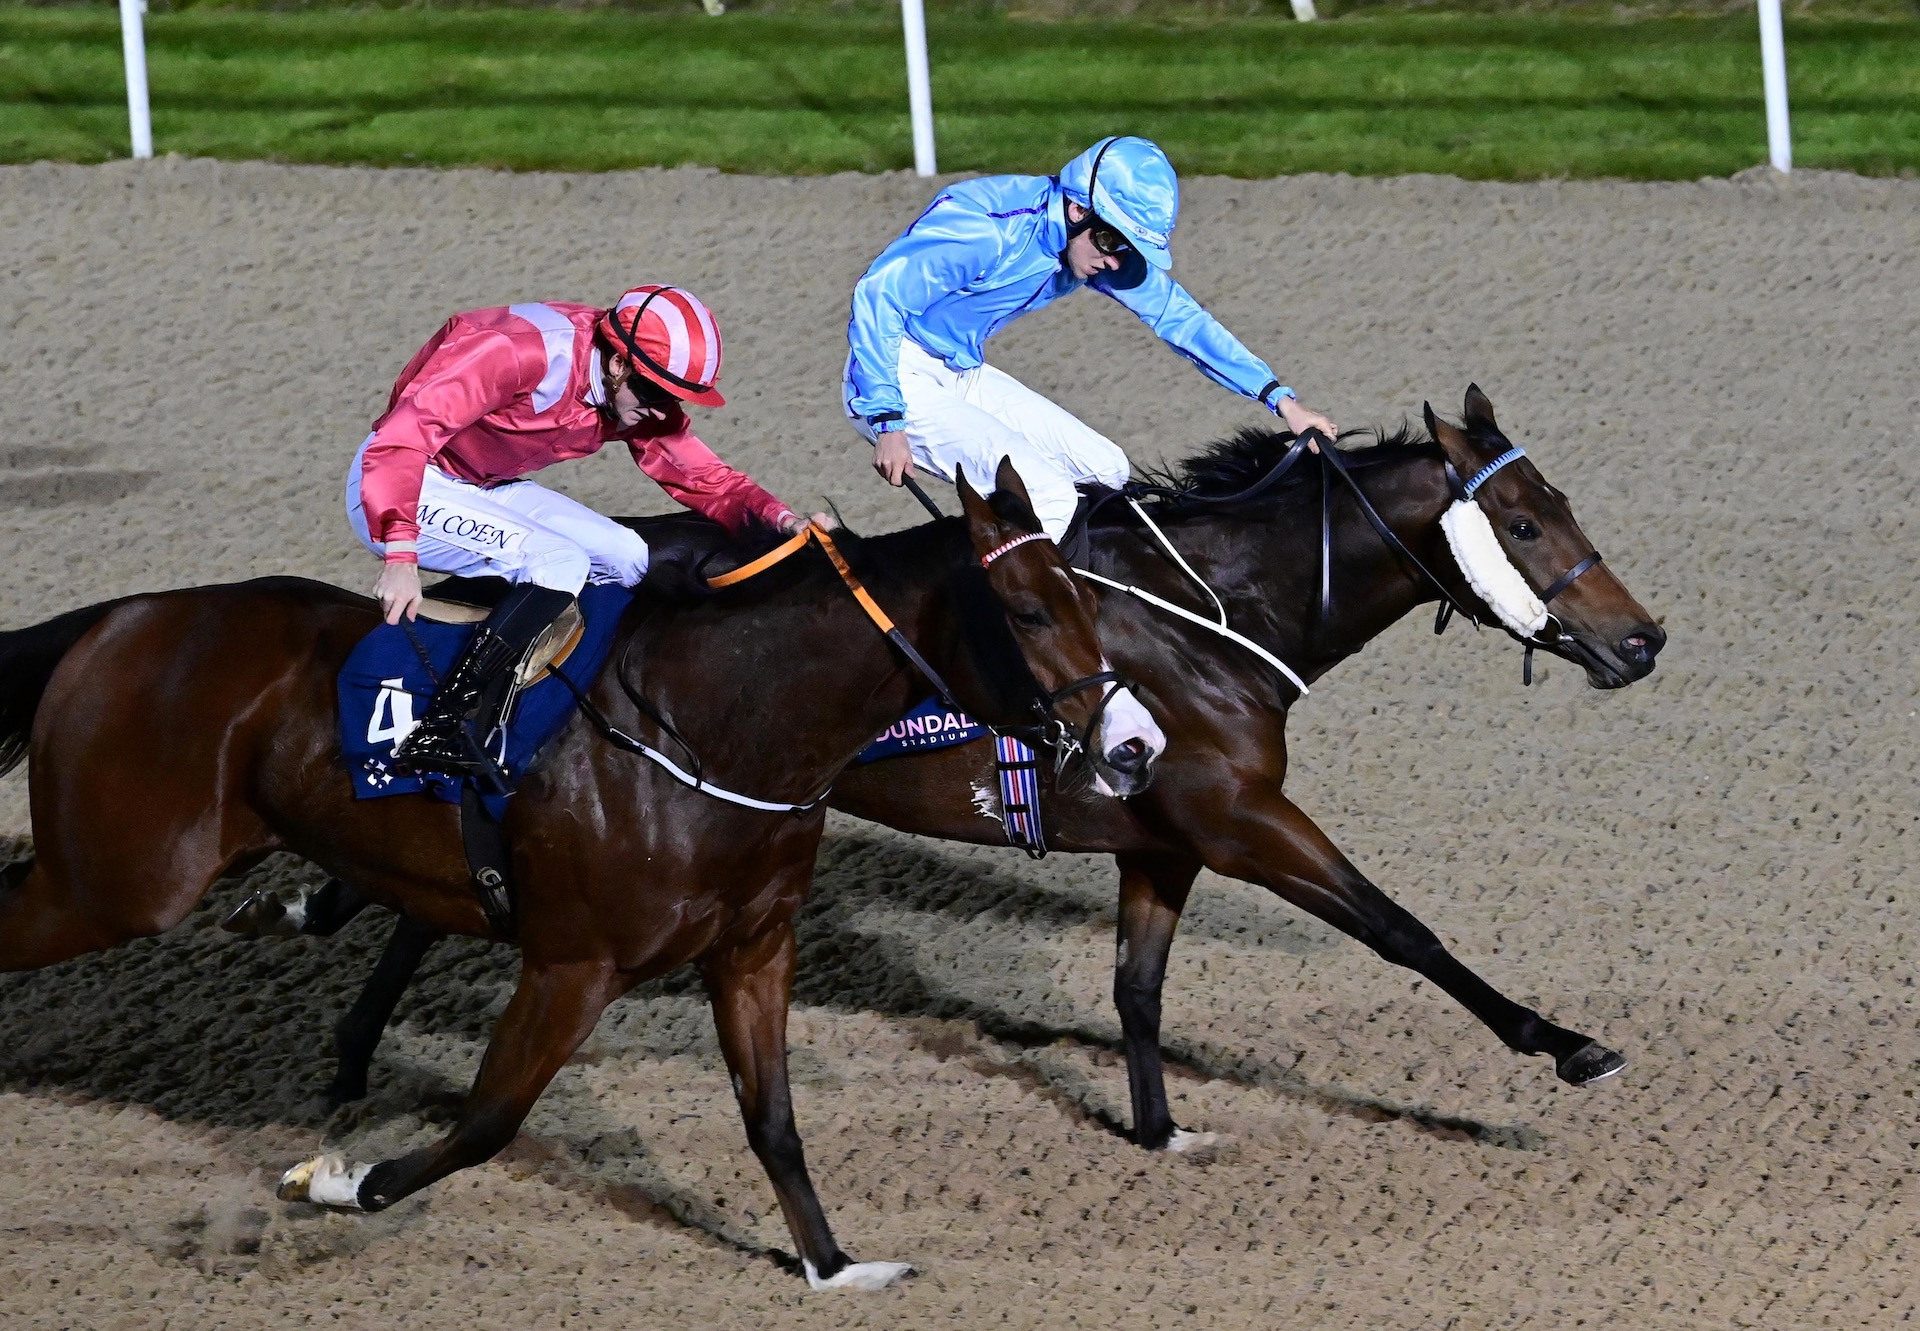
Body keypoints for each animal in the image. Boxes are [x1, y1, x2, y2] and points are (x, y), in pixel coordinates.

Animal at [0, 462, 1152, 1282]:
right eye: (1034, 612)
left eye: (1089, 601)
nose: (1137, 744)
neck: (711, 727)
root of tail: (113, 621)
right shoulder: (573, 962)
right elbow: (486, 1119)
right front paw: (333, 1177)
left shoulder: (753, 945)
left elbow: (773, 1119)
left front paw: (833, 1263)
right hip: (119, 882)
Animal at [251, 386, 1666, 1152]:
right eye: (1523, 520)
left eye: (1563, 504)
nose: (1643, 639)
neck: (1217, 612)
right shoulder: (1238, 812)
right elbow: (1400, 926)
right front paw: (1565, 1044)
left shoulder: (1163, 835)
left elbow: (1136, 987)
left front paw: (1158, 1126)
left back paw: (352, 1045)